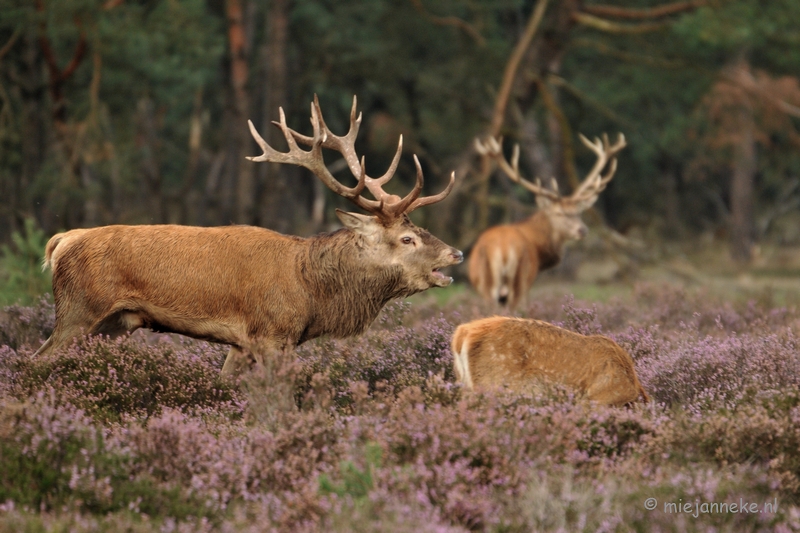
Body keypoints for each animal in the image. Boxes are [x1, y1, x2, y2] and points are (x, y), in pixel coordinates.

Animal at [36, 96, 462, 378]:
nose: (456, 253)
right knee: (38, 357)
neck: (311, 291)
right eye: (407, 238)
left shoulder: (244, 344)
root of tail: (61, 241)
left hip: (114, 324)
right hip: (78, 309)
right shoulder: (271, 333)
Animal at [468, 133, 624, 308]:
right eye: (559, 213)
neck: (538, 248)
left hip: (488, 284)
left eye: (579, 212)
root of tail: (502, 249)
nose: (582, 230)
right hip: (519, 280)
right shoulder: (529, 281)